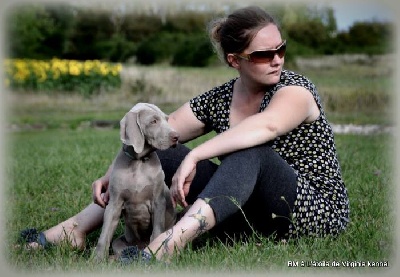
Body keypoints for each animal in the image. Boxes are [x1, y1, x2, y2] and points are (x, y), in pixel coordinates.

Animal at [94, 102, 179, 260]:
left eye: (167, 119)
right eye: (154, 121)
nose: (177, 136)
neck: (139, 162)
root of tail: (138, 251)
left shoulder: (158, 201)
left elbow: (156, 232)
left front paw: (154, 253)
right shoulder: (114, 203)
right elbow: (105, 234)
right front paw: (97, 260)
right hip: (121, 242)